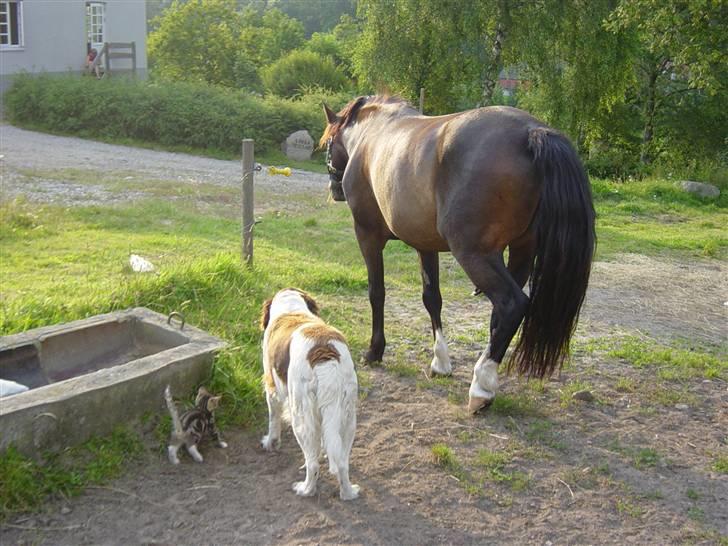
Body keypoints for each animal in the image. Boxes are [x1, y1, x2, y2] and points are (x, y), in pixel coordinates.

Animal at [260, 286, 360, 500]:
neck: (291, 308)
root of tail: (324, 353)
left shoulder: (272, 388)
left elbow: (273, 420)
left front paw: (270, 443)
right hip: (348, 417)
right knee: (342, 463)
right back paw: (348, 493)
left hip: (301, 417)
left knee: (312, 463)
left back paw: (305, 489)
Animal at [322, 95, 596, 410]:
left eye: (329, 143)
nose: (335, 189)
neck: (372, 132)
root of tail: (532, 132)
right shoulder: (425, 244)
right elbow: (432, 299)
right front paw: (440, 362)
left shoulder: (367, 235)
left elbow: (376, 292)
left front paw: (374, 351)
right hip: (521, 252)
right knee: (499, 314)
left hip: (475, 254)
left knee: (511, 304)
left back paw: (482, 387)